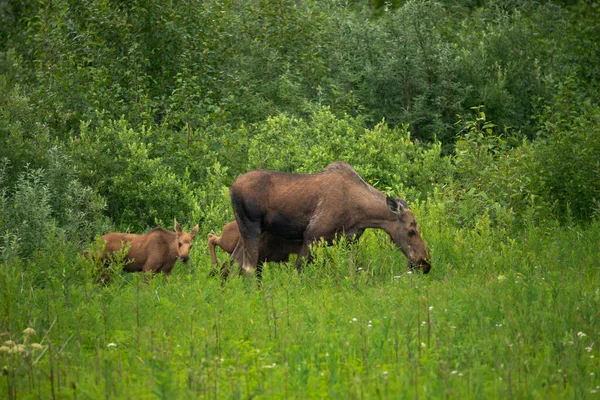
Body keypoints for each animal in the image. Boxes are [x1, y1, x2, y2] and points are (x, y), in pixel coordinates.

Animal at [230, 161, 432, 276]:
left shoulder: (350, 240)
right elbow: (298, 270)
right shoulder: (312, 236)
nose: (425, 263)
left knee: (233, 263)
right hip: (251, 227)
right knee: (248, 267)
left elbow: (351, 270)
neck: (362, 214)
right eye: (411, 231)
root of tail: (232, 188)